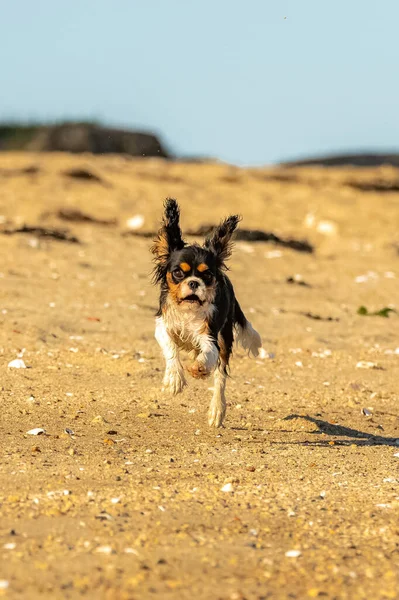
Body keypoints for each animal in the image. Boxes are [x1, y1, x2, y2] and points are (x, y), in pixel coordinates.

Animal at [152, 199, 260, 428]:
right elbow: (170, 347)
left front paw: (199, 368)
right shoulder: (163, 325)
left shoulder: (209, 334)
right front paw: (174, 379)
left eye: (207, 275)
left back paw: (216, 410)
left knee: (220, 376)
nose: (194, 282)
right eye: (178, 273)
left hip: (225, 338)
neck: (188, 309)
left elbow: (209, 354)